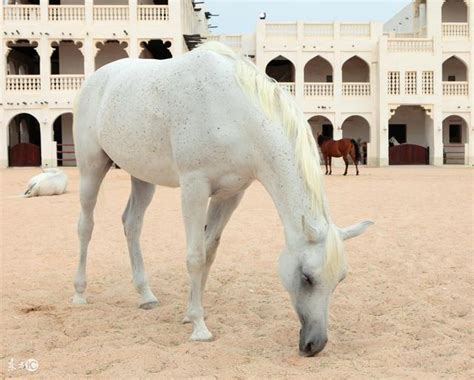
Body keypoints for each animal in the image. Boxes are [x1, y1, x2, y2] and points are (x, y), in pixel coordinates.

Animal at [72, 42, 372, 356]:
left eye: (340, 279)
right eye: (306, 277)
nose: (315, 344)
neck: (234, 114)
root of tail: (96, 79)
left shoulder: (230, 195)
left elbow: (209, 252)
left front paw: (190, 313)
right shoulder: (194, 187)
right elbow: (195, 255)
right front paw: (199, 327)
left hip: (142, 177)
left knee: (132, 224)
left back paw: (145, 295)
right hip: (91, 169)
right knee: (85, 226)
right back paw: (79, 293)